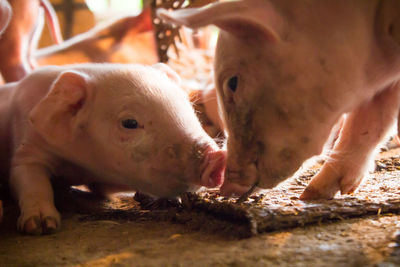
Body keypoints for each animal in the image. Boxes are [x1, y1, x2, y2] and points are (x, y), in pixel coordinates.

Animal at [0, 63, 225, 234]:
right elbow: (29, 180)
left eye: (190, 108)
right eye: (130, 123)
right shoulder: (27, 149)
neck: (81, 168)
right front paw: (42, 226)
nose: (218, 157)